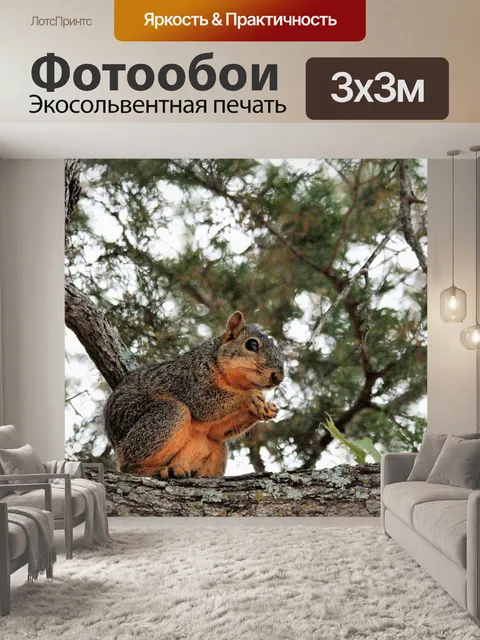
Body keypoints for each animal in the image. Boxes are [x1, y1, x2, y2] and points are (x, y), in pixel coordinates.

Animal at [103, 312, 285, 478]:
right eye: (252, 344)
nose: (278, 377)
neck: (234, 384)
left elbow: (217, 431)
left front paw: (267, 410)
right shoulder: (191, 380)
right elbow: (205, 404)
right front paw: (251, 396)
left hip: (215, 449)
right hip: (166, 416)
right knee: (128, 465)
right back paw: (160, 470)